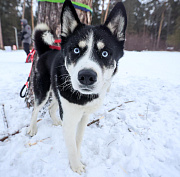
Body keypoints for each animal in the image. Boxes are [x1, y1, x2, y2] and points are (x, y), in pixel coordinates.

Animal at [28, 0, 126, 174]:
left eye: (105, 53)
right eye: (76, 50)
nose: (87, 76)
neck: (83, 98)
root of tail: (45, 51)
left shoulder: (83, 116)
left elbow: (77, 140)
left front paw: (78, 157)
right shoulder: (69, 116)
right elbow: (71, 145)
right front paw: (76, 166)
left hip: (57, 92)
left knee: (51, 108)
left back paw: (55, 121)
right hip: (43, 90)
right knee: (36, 108)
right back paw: (32, 128)